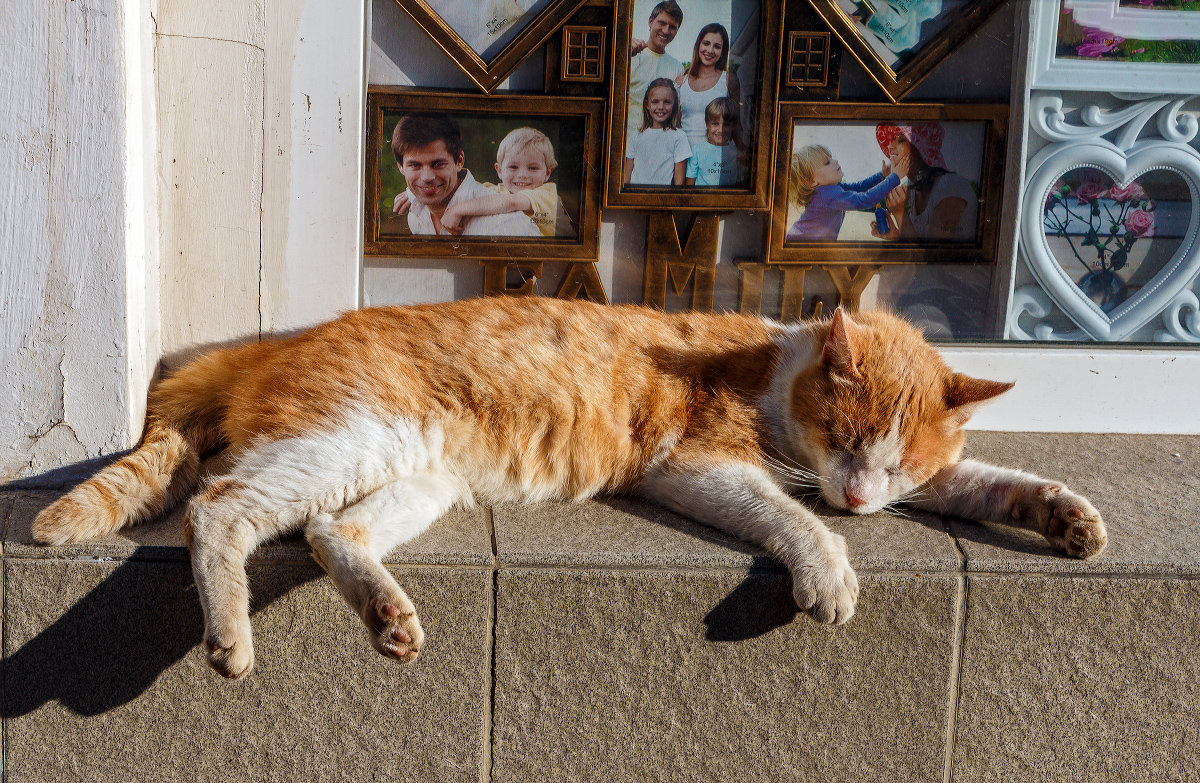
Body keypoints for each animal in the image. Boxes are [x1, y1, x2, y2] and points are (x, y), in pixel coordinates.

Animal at [32, 297, 1108, 677]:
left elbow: (986, 480)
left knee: (333, 536)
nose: (856, 497)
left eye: (897, 464)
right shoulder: (700, 464)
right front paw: (830, 569)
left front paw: (1066, 515)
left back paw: (388, 617)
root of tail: (271, 341)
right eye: (847, 440)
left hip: (414, 475)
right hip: (350, 439)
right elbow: (788, 517)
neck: (773, 360)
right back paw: (229, 638)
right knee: (220, 509)